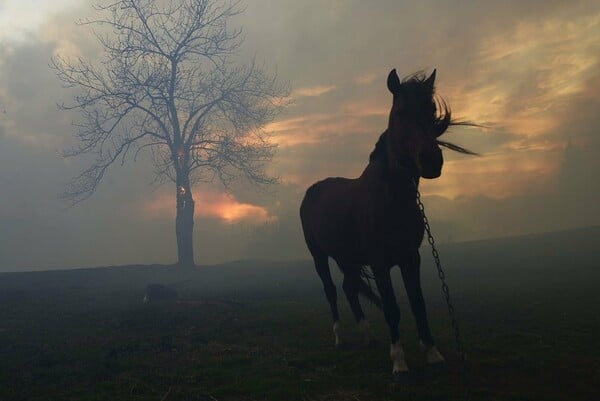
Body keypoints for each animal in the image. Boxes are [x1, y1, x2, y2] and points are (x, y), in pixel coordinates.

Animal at [298, 69, 474, 376]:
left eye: (431, 110)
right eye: (401, 111)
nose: (431, 161)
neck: (390, 197)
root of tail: (311, 192)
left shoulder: (410, 257)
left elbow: (417, 303)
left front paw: (432, 353)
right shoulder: (380, 262)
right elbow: (392, 308)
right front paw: (399, 362)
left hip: (347, 257)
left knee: (350, 289)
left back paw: (368, 337)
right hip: (319, 255)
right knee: (331, 291)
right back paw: (340, 338)